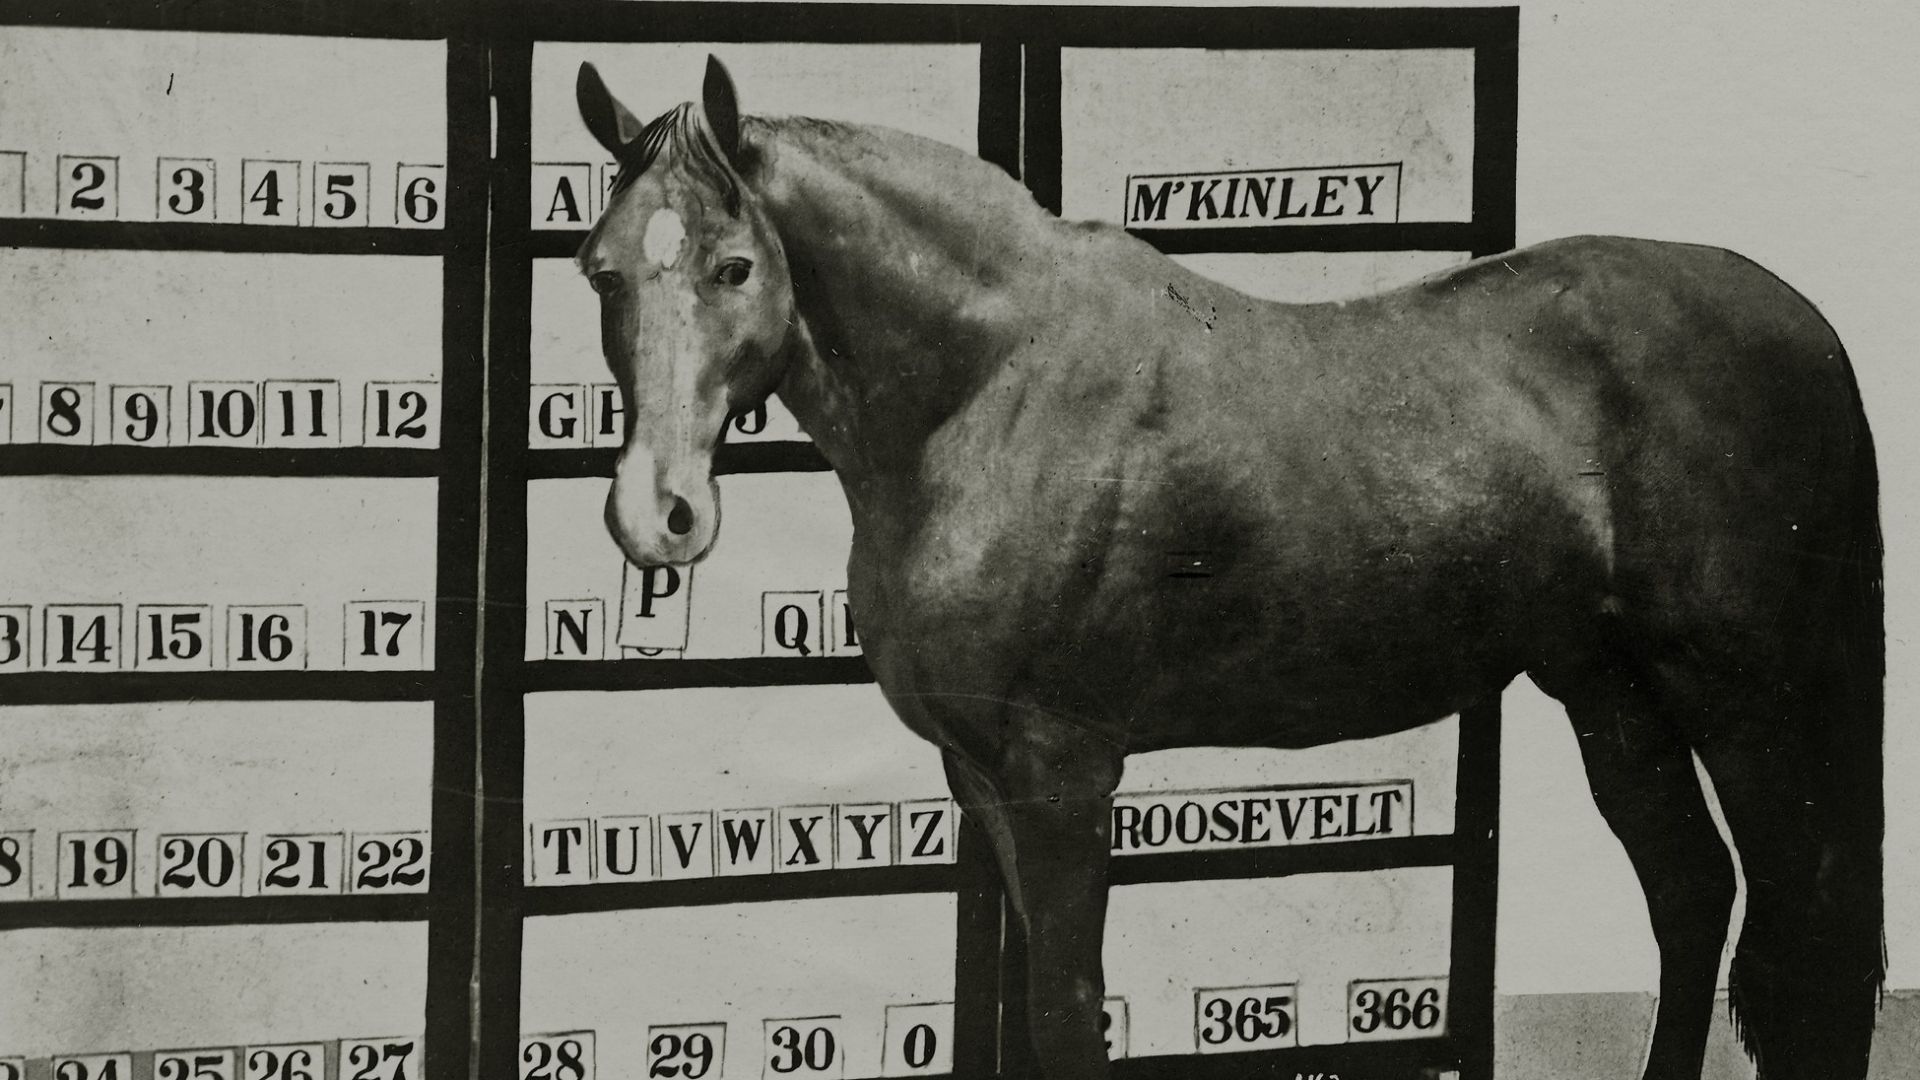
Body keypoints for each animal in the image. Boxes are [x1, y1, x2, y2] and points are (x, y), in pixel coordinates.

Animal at [571, 58, 1884, 1080]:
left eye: (736, 266)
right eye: (601, 268)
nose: (658, 514)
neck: (991, 390)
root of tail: (1804, 323)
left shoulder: (1062, 772)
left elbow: (1063, 1015)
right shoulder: (978, 773)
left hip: (1749, 701)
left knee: (1799, 929)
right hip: (1612, 692)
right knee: (1692, 895)